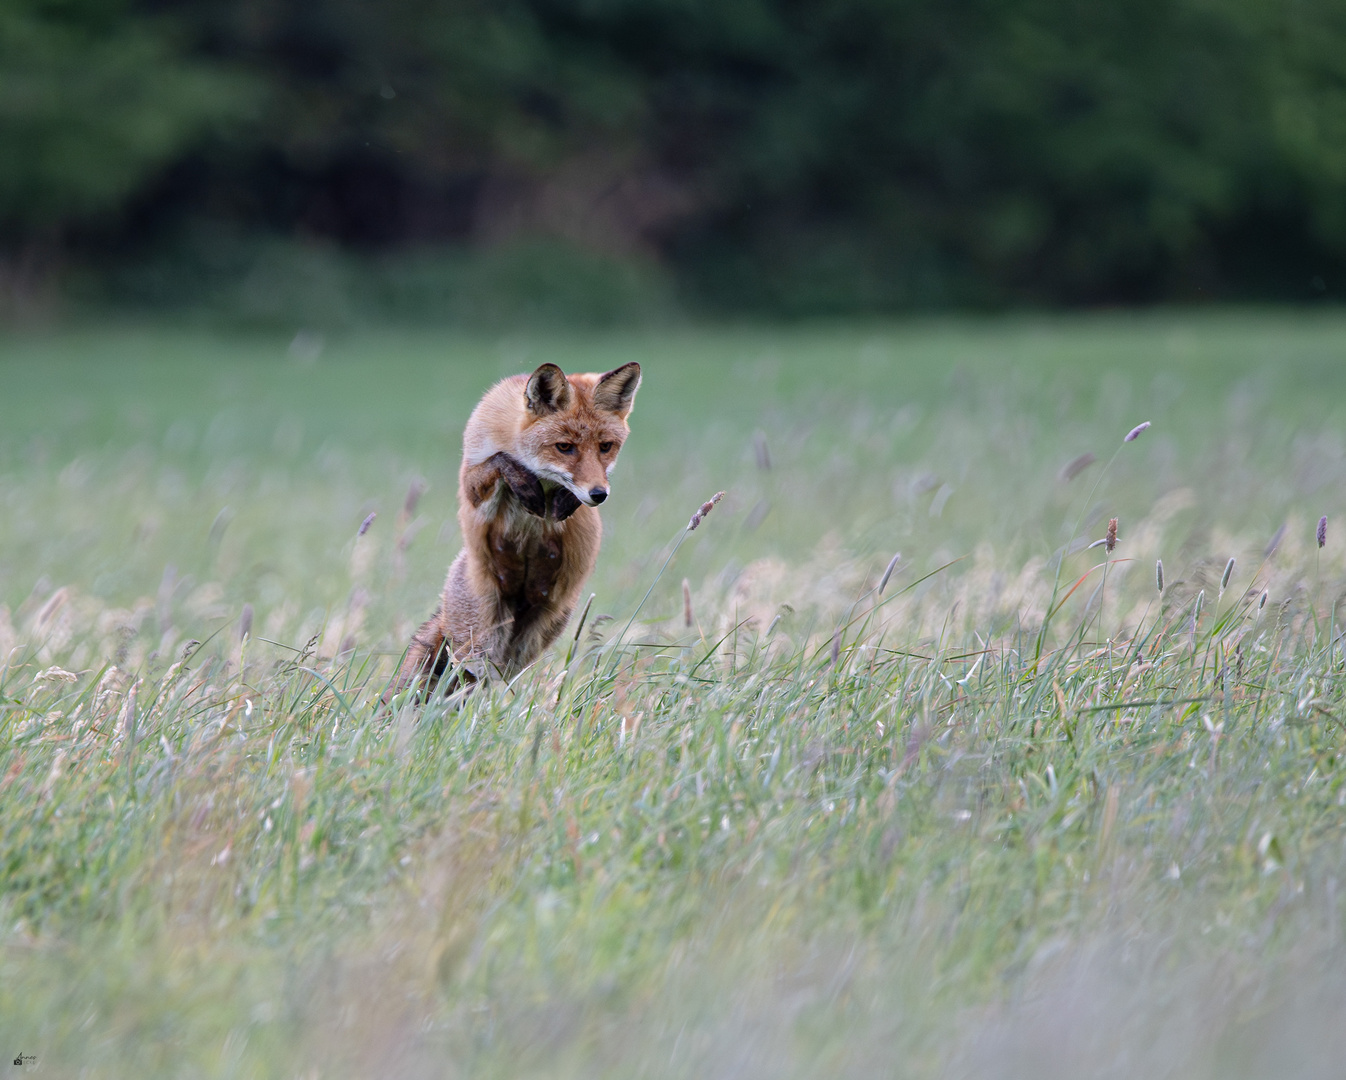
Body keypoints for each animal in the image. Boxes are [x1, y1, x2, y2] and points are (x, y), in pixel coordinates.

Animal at [390, 360, 640, 700]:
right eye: (565, 447)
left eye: (605, 447)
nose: (598, 494)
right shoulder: (472, 478)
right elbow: (499, 462)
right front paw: (524, 483)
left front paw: (564, 499)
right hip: (479, 639)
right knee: (471, 672)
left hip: (533, 636)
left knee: (500, 675)